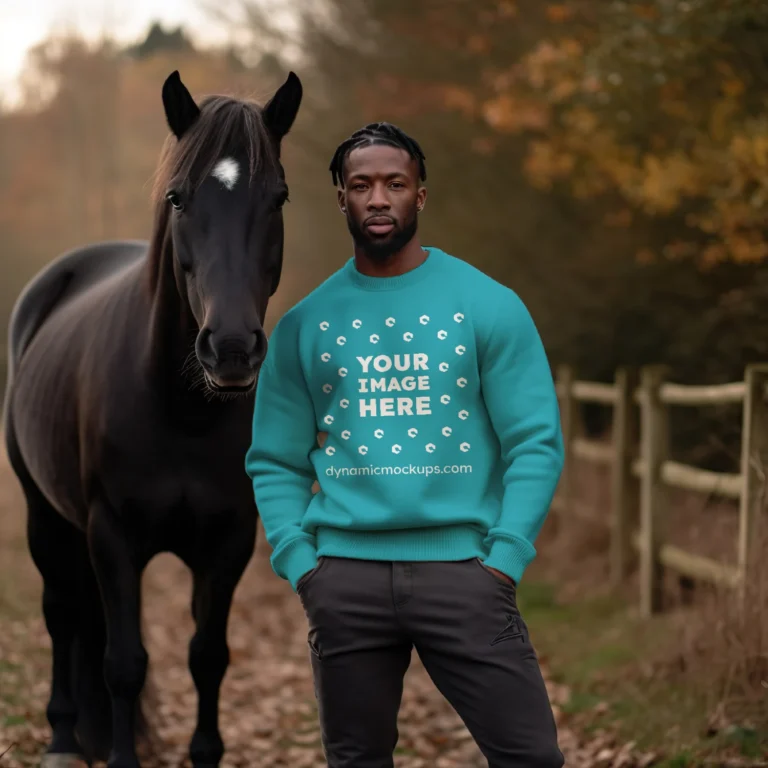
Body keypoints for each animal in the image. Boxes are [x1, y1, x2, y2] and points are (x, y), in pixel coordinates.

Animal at [3, 69, 304, 764]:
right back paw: (63, 738)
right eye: (178, 197)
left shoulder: (229, 542)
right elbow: (124, 663)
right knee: (62, 613)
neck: (180, 412)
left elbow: (208, 657)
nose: (231, 347)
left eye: (278, 197)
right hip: (44, 516)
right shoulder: (113, 537)